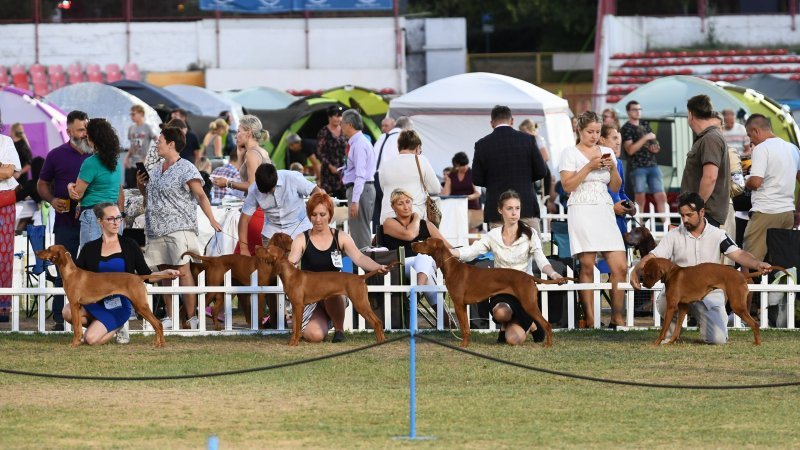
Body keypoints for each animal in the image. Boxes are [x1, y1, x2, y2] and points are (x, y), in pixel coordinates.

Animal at [36, 246, 171, 348]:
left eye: (49, 248)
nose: (37, 252)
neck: (71, 273)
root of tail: (138, 277)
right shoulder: (77, 306)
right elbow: (78, 327)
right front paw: (78, 342)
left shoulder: (74, 304)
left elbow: (76, 328)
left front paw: (74, 344)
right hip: (139, 306)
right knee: (156, 324)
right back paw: (157, 343)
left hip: (140, 305)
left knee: (158, 323)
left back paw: (161, 344)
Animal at [640, 256, 784, 344]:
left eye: (647, 274)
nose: (643, 284)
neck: (672, 272)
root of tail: (741, 274)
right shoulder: (683, 307)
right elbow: (676, 329)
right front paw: (671, 342)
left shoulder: (671, 307)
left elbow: (663, 329)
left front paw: (656, 343)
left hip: (737, 305)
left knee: (754, 324)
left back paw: (757, 343)